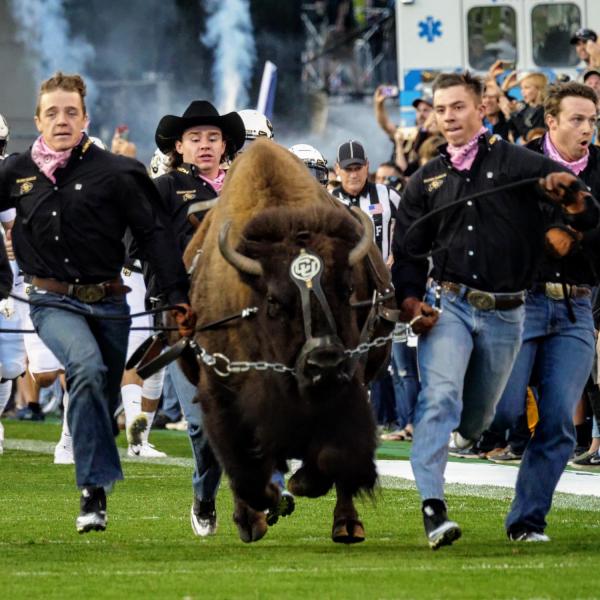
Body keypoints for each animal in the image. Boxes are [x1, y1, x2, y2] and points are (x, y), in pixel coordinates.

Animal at [185, 141, 396, 544]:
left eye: (346, 289)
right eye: (273, 302)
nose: (324, 361)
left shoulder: (350, 380)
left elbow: (336, 456)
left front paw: (301, 485)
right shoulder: (220, 390)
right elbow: (242, 465)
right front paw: (262, 508)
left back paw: (347, 526)